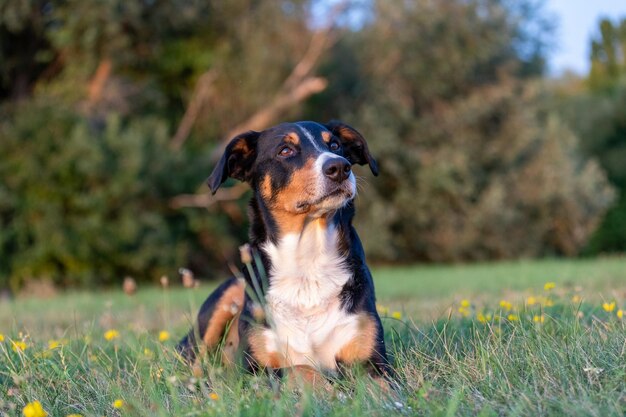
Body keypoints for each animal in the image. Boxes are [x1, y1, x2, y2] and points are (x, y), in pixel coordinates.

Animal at [177, 120, 390, 386]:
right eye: (285, 150)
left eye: (334, 145)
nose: (340, 167)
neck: (308, 262)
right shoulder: (254, 370)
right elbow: (302, 368)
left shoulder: (373, 362)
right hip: (223, 301)